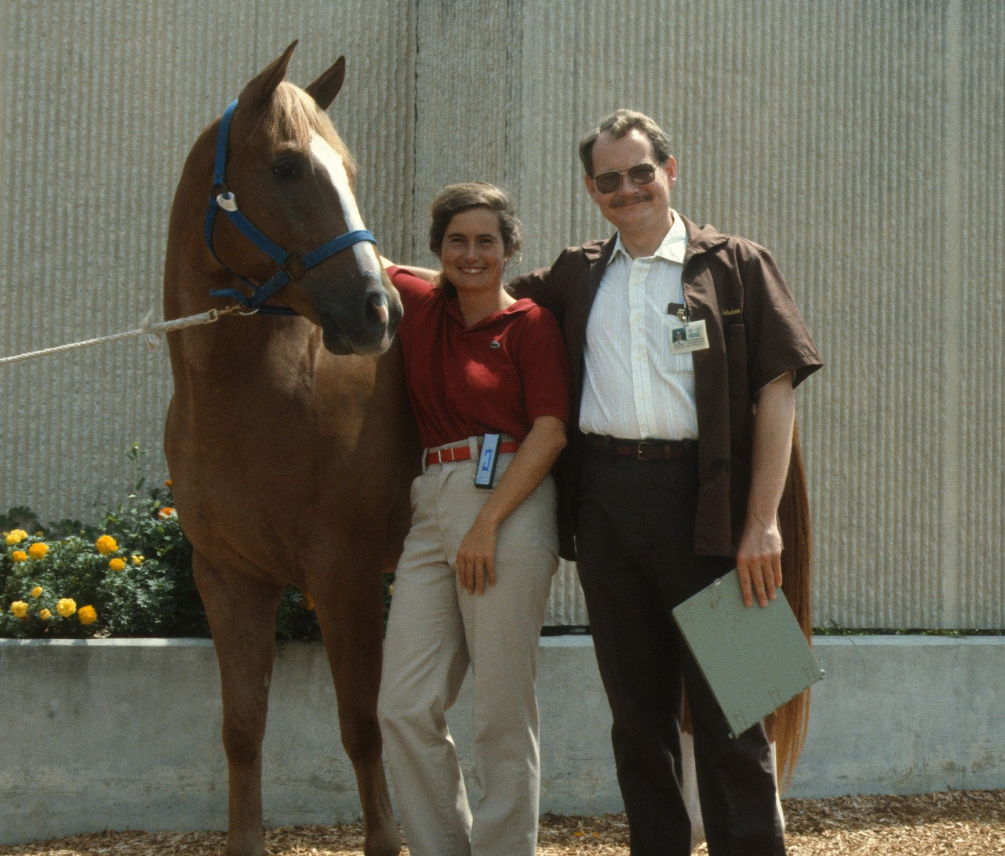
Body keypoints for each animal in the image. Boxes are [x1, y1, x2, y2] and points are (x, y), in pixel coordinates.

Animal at [164, 45, 416, 856]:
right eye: (285, 166)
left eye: (348, 169)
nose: (379, 312)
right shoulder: (230, 580)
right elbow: (243, 729)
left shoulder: (345, 577)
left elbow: (361, 727)